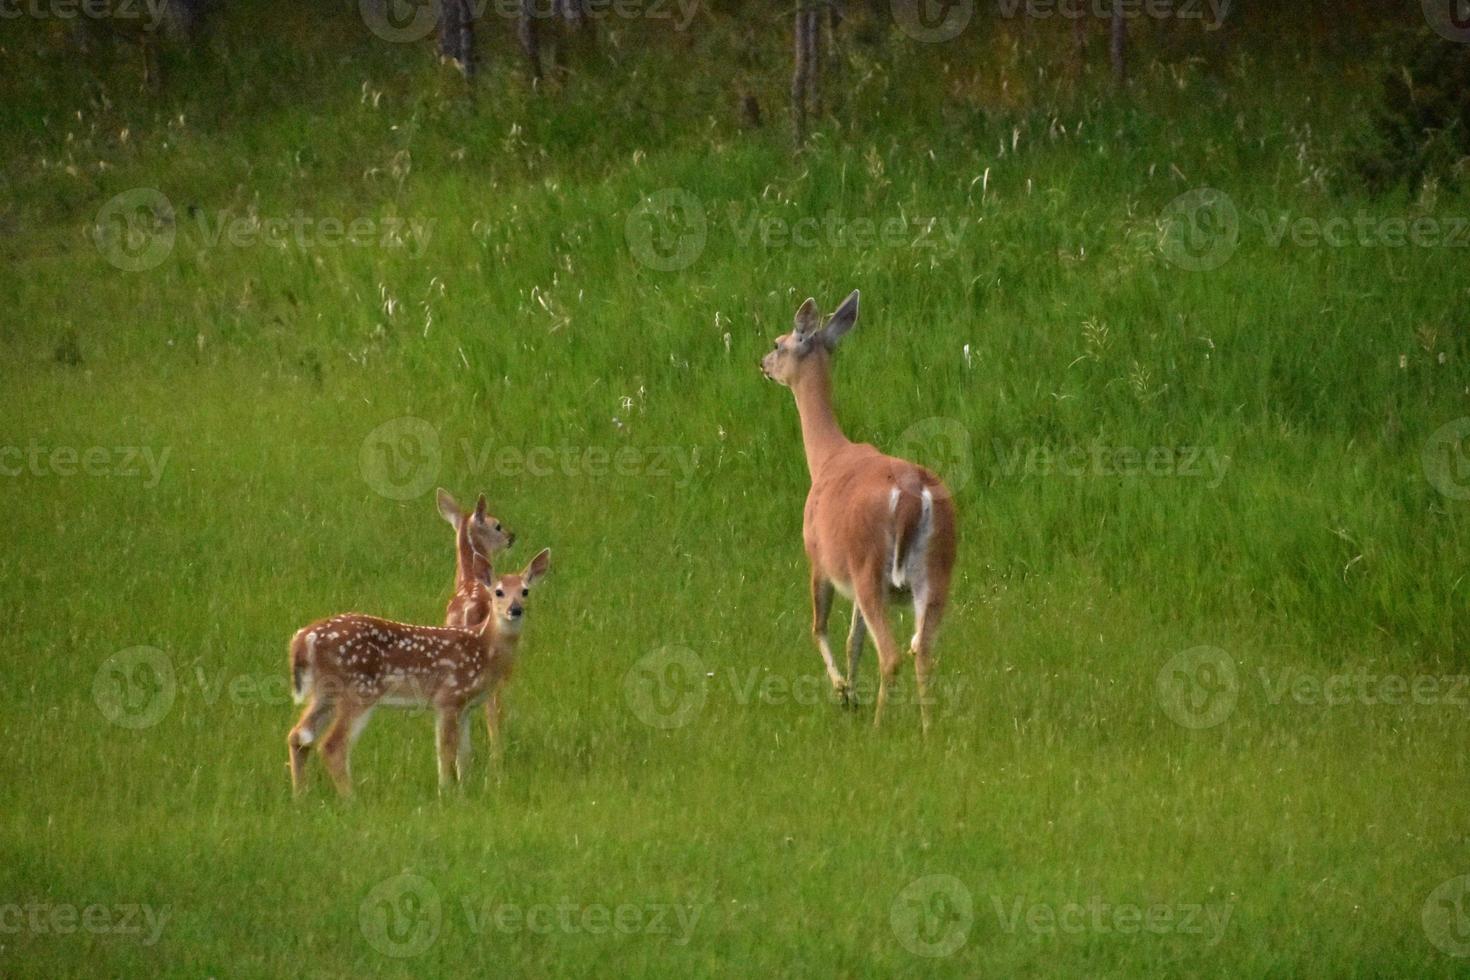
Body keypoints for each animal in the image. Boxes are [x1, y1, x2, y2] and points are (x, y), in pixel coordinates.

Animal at [286, 552, 552, 799]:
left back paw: (300, 796)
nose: (515, 610)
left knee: (299, 736)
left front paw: (465, 788)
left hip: (324, 691)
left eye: (525, 591)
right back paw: (351, 799)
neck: (483, 648)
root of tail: (303, 639)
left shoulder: (466, 706)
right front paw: (446, 791)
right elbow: (446, 748)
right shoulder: (448, 697)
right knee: (332, 744)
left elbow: (465, 753)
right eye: (498, 592)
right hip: (358, 690)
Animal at [764, 295, 958, 731]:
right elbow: (854, 641)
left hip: (871, 567)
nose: (763, 363)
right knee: (922, 650)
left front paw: (843, 692)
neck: (825, 458)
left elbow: (819, 627)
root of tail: (911, 495)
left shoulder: (819, 557)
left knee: (891, 653)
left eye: (778, 343)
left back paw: (879, 727)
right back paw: (929, 731)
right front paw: (851, 693)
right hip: (936, 569)